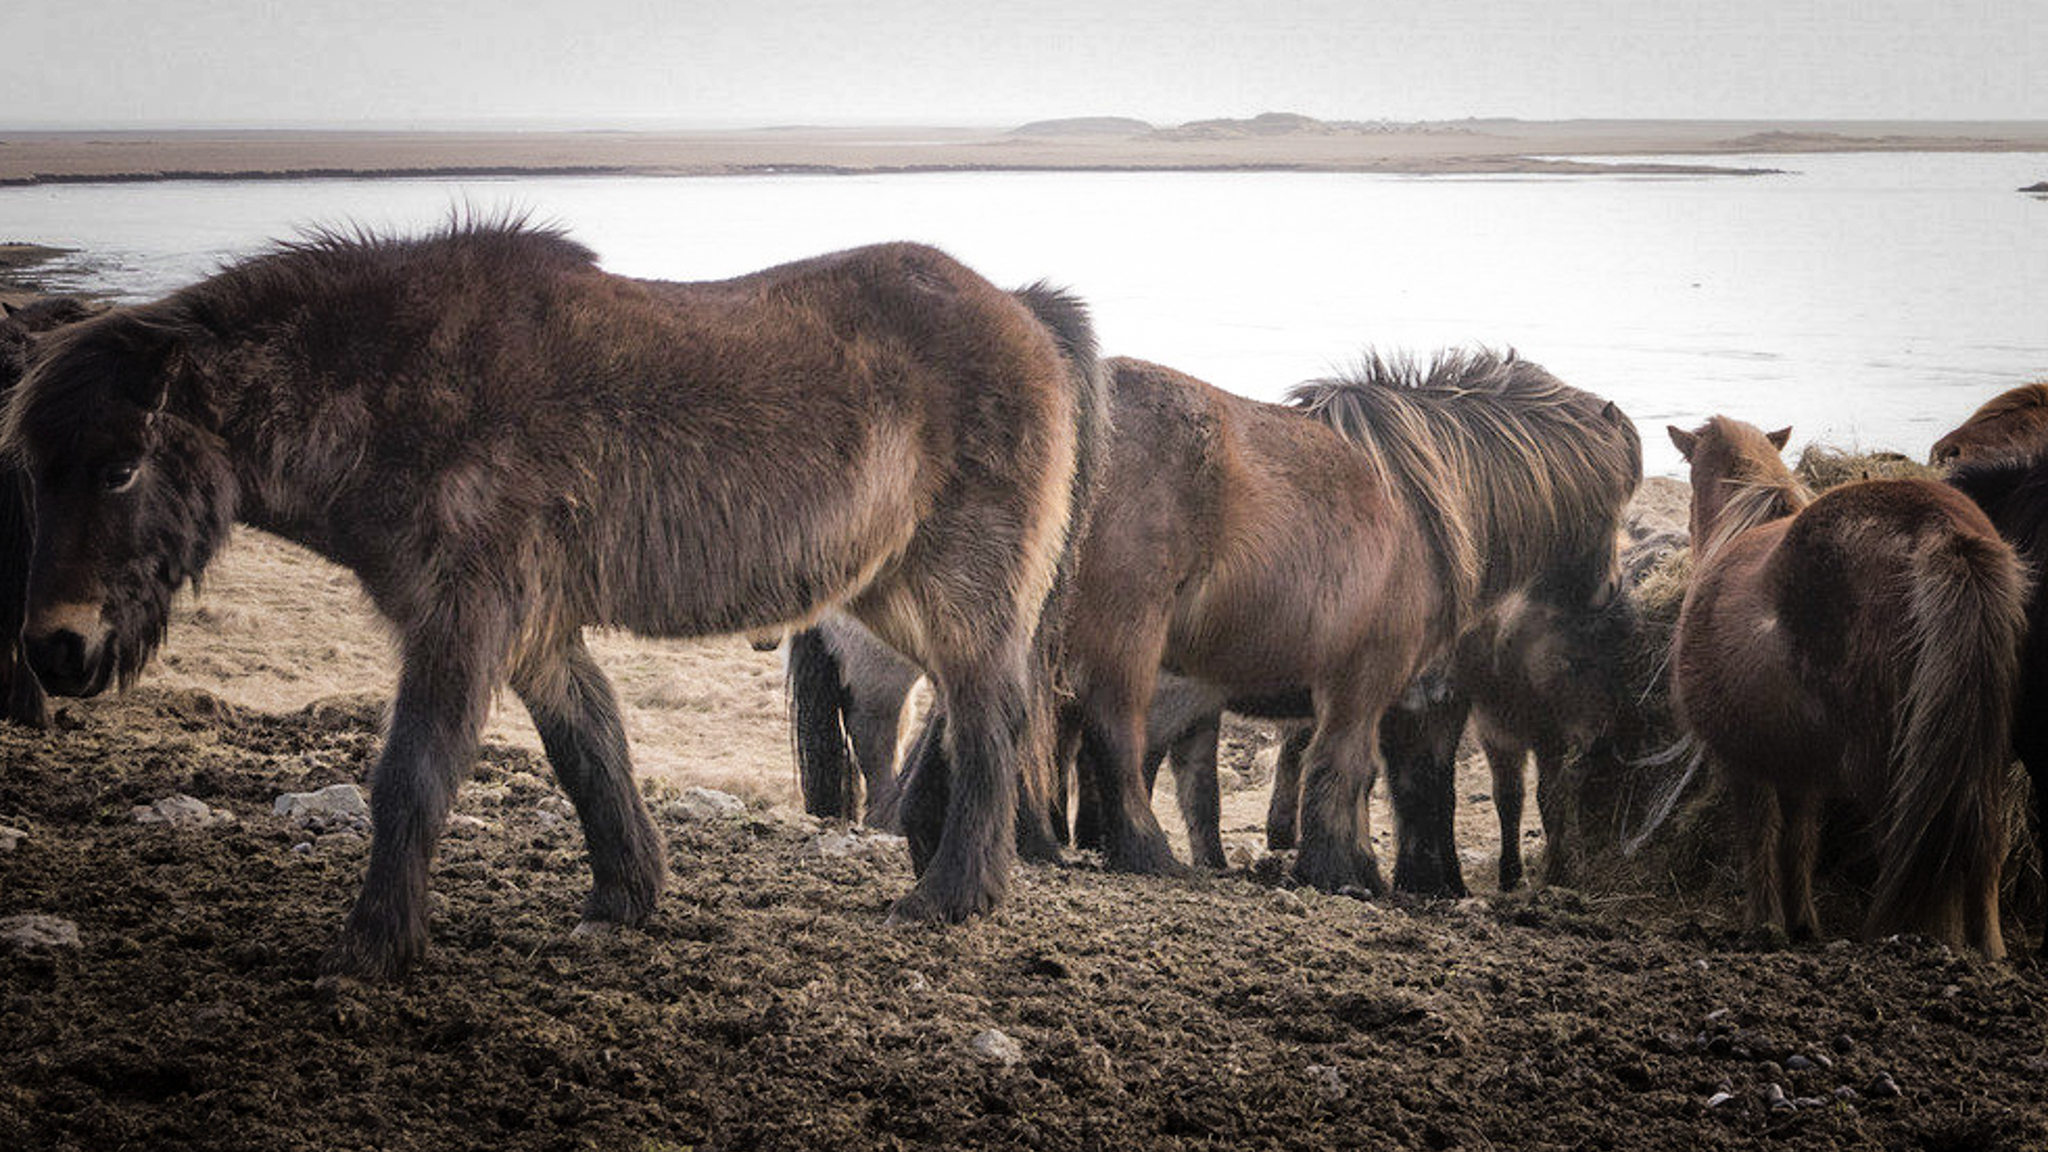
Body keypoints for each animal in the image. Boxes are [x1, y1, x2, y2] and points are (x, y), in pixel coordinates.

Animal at [4, 220, 1104, 980]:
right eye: (36, 472)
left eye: (118, 469)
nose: (54, 650)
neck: (403, 389)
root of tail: (1022, 310)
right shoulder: (532, 633)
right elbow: (592, 751)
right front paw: (625, 898)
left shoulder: (463, 618)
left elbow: (413, 776)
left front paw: (370, 950)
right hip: (892, 594)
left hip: (955, 592)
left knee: (991, 720)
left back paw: (950, 898)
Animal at [1669, 416, 2022, 957]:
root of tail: (1937, 525)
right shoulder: (1800, 769)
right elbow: (1800, 841)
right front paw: (1801, 924)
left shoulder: (1744, 760)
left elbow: (1761, 838)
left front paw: (1763, 925)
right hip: (1984, 761)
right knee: (1986, 848)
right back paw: (1988, 952)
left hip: (1881, 762)